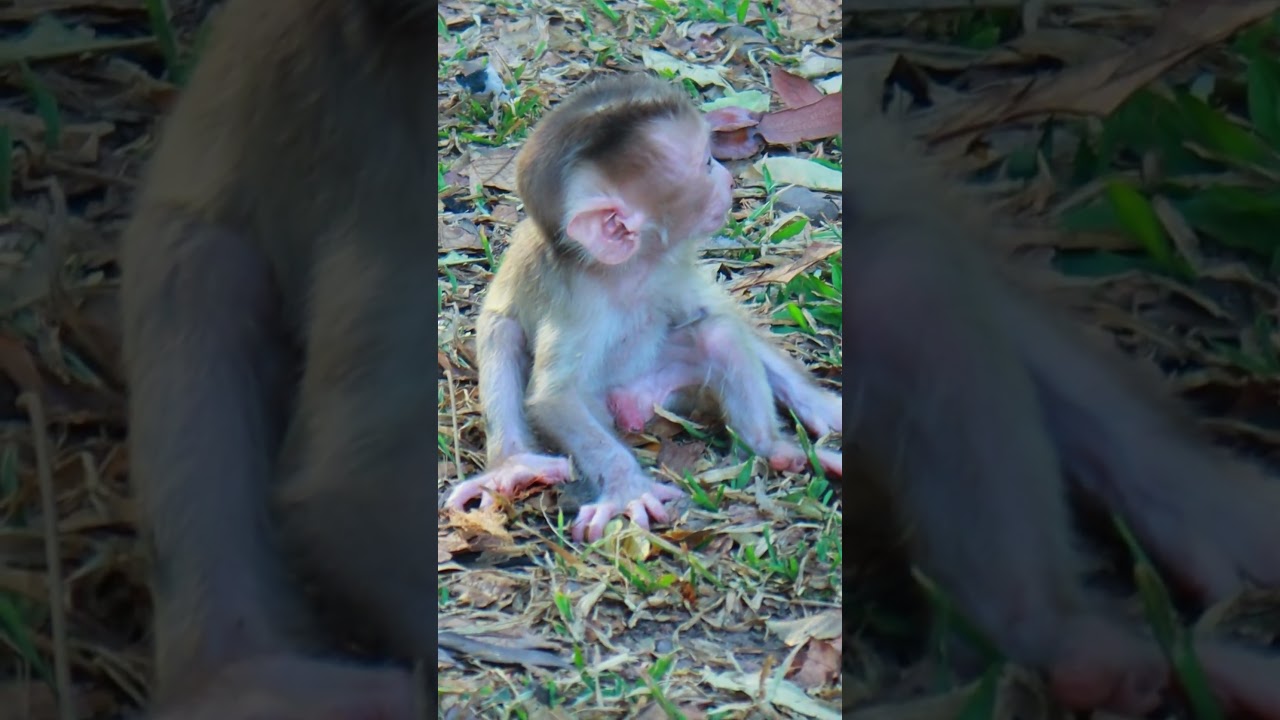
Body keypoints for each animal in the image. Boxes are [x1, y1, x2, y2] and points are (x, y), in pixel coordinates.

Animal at [442, 74, 844, 543]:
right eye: (706, 163)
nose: (728, 179)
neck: (628, 271)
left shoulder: (669, 268)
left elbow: (717, 315)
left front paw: (821, 407)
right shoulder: (579, 303)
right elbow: (555, 397)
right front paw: (627, 486)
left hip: (674, 388)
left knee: (718, 333)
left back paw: (773, 448)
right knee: (502, 333)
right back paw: (513, 464)